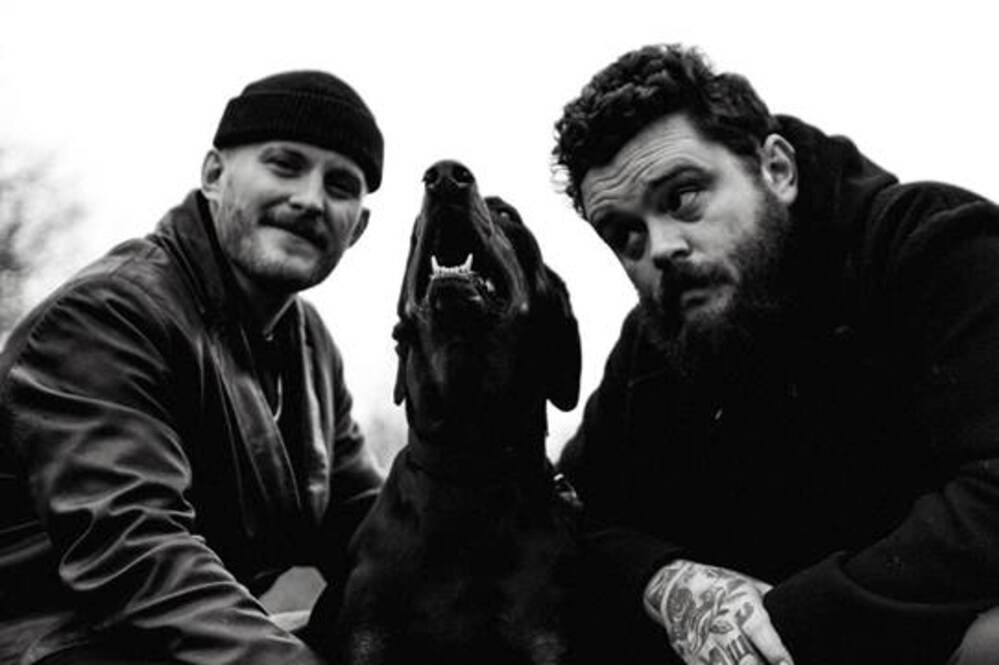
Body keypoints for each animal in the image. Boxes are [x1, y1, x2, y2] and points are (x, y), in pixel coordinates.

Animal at [308, 160, 583, 665]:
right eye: (415, 228)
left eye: (506, 213)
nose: (444, 176)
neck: (468, 460)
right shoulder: (369, 640)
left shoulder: (544, 640)